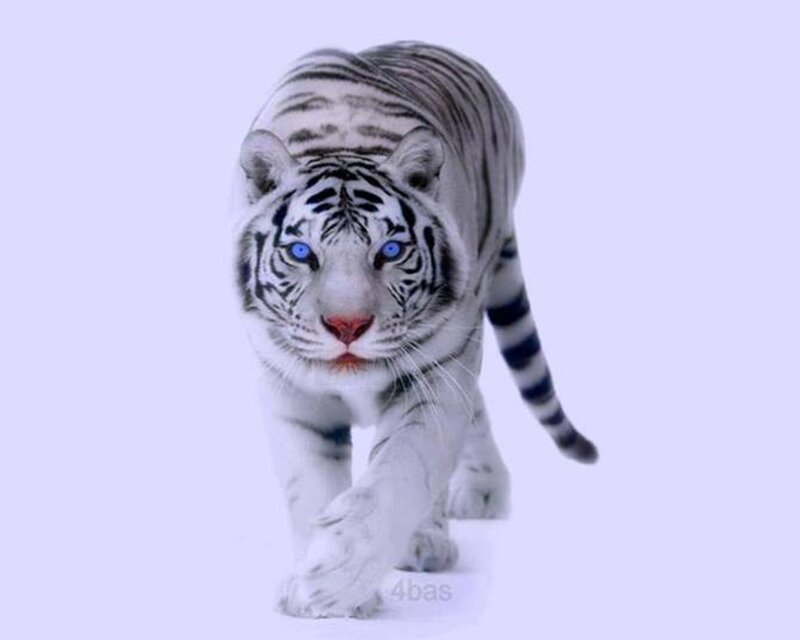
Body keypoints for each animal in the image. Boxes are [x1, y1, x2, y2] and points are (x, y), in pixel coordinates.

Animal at [231, 41, 598, 618]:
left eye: (390, 251)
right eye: (301, 253)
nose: (347, 325)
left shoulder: (435, 375)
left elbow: (401, 471)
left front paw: (337, 576)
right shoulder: (291, 390)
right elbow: (310, 484)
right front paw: (316, 591)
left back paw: (446, 524)